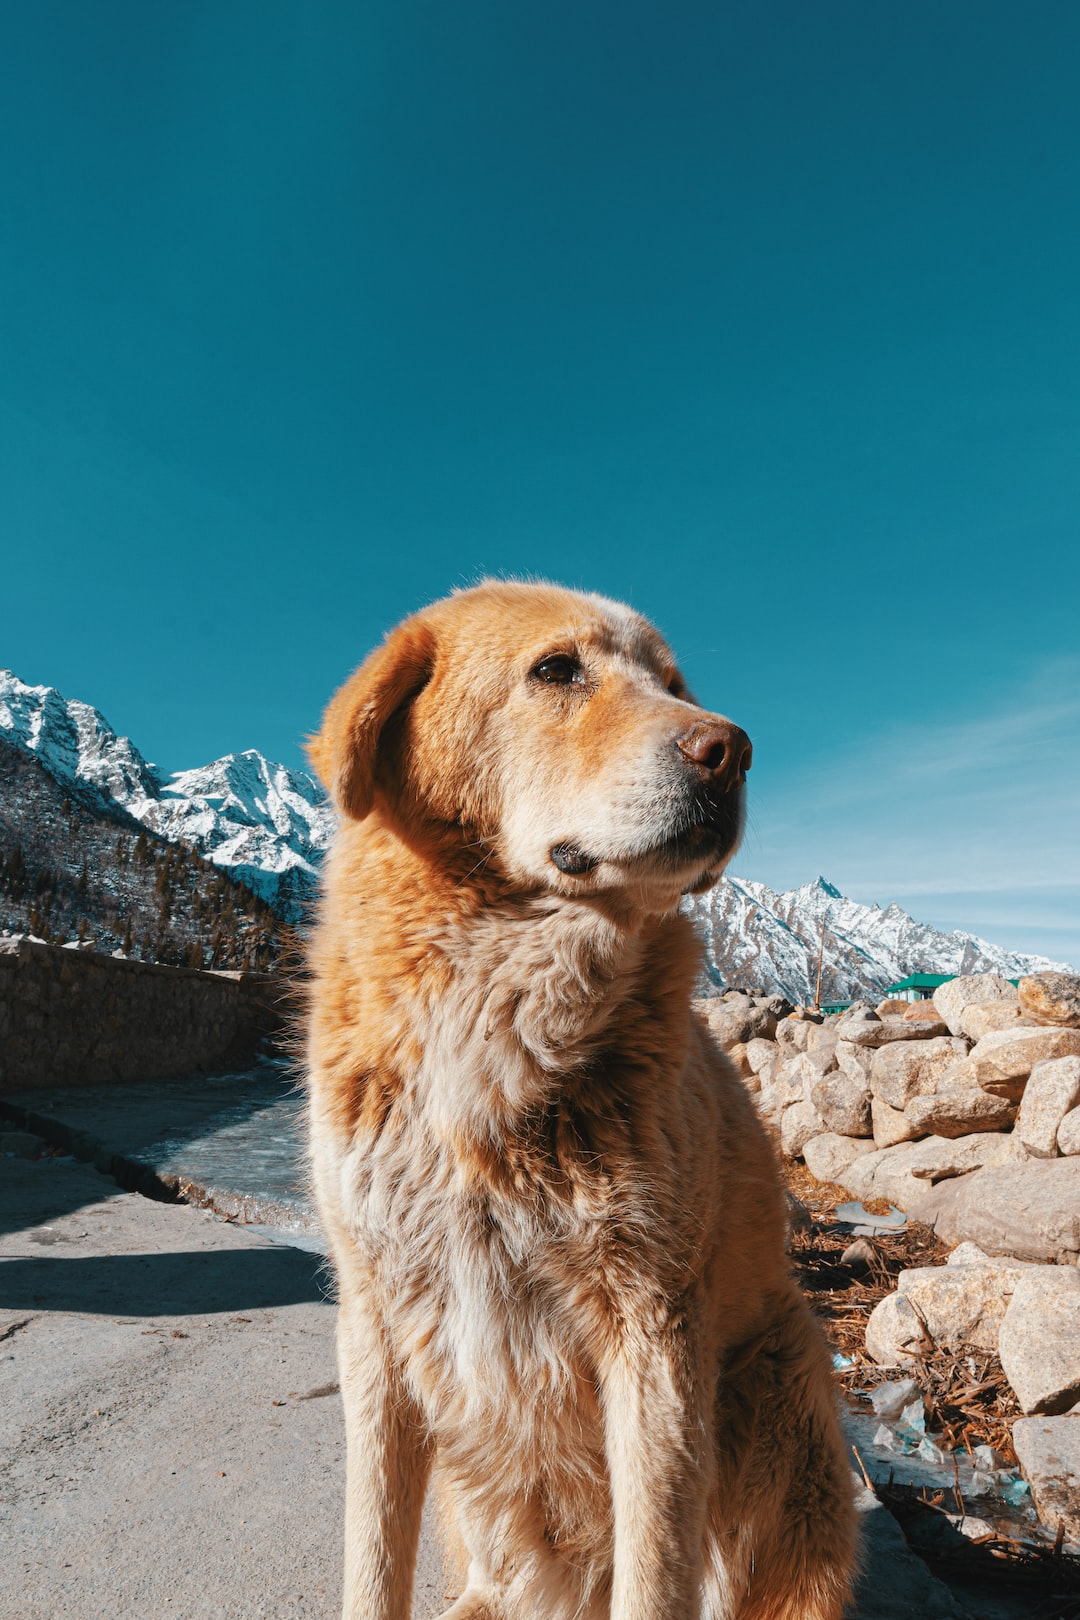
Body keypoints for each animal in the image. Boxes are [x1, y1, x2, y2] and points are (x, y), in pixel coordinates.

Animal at [302, 586, 854, 1620]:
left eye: (674, 684)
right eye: (557, 670)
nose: (731, 749)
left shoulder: (656, 1329)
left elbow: (654, 1570)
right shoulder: (375, 1319)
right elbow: (371, 1557)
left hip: (782, 1378)